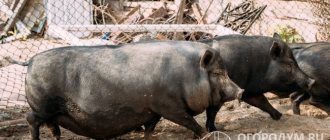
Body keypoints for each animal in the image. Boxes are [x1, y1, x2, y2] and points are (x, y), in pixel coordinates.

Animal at [5, 40, 242, 139]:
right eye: (218, 73)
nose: (240, 91)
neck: (187, 75)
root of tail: (30, 61)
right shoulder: (170, 107)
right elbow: (191, 122)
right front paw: (206, 135)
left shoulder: (154, 109)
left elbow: (149, 129)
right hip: (42, 106)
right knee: (30, 119)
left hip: (52, 112)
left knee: (53, 127)